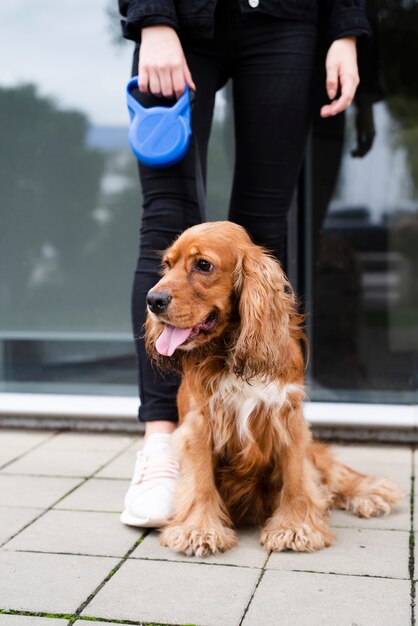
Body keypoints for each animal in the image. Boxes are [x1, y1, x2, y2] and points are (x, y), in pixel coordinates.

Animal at [145, 222, 402, 552]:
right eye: (167, 265)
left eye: (203, 265)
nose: (153, 300)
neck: (230, 352)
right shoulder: (199, 424)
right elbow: (200, 480)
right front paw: (199, 530)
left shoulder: (287, 418)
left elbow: (296, 477)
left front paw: (294, 527)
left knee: (333, 471)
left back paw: (370, 492)